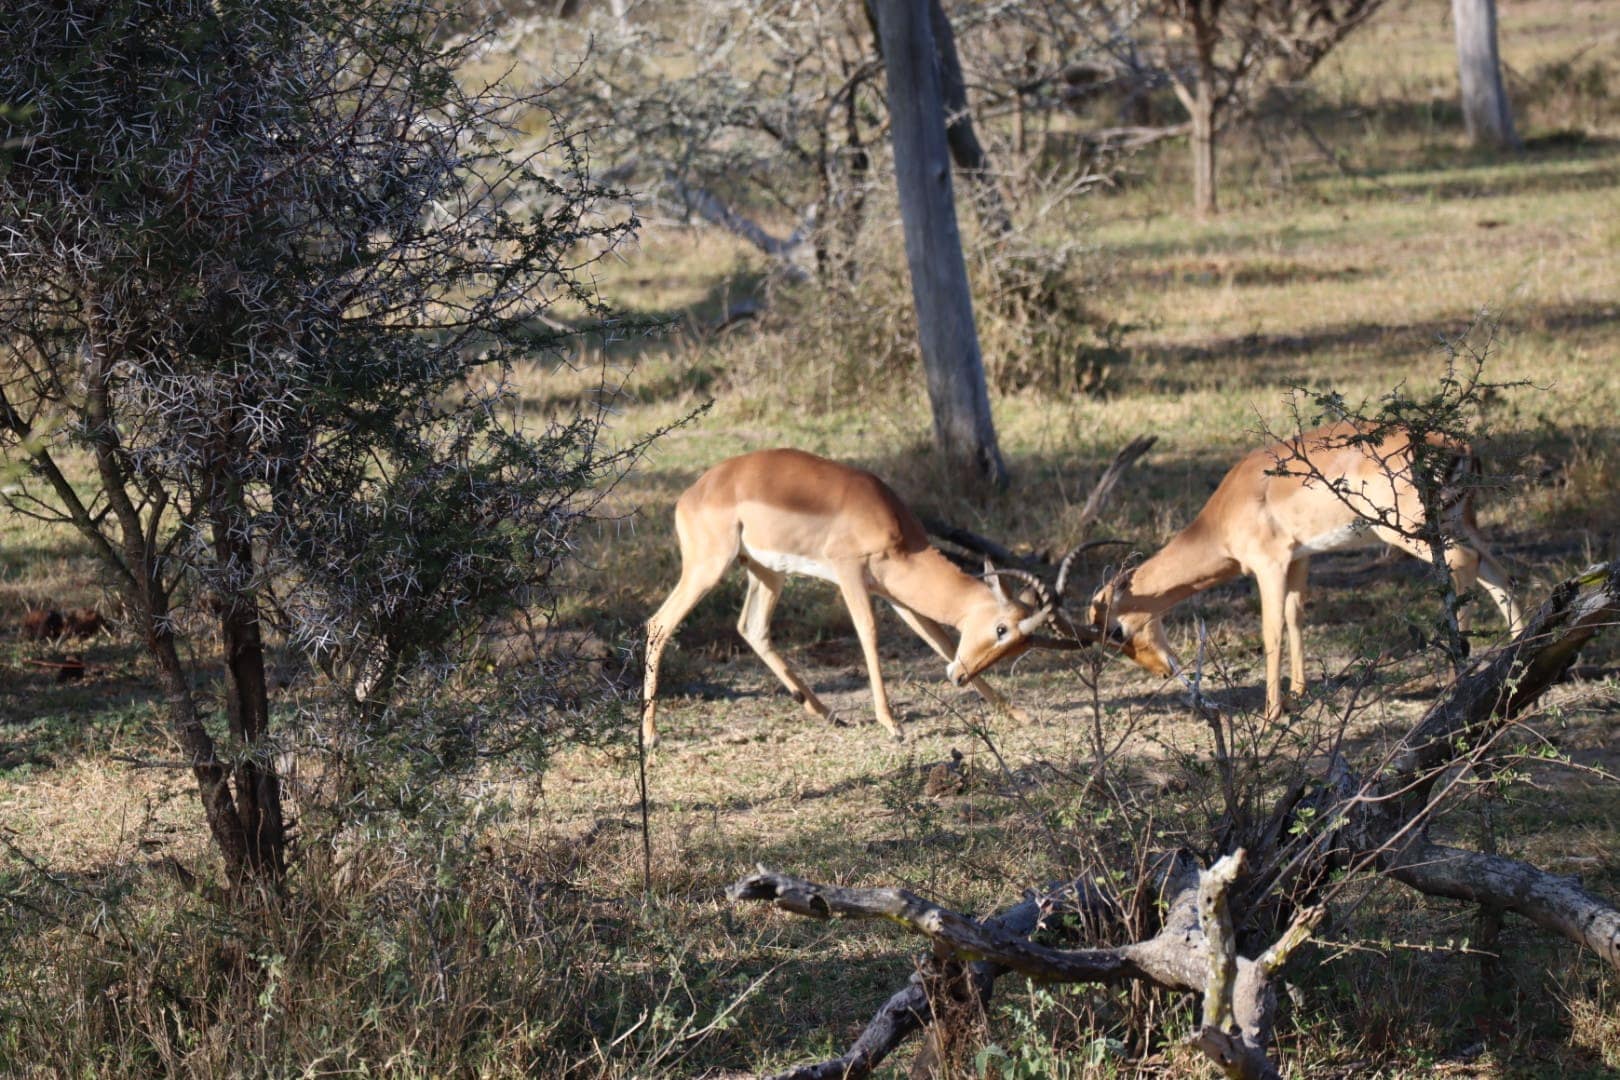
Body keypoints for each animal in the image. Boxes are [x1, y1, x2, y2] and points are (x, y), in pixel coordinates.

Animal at [641, 448, 1091, 747]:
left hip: (767, 571)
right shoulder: (850, 574)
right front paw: (892, 725)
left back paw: (829, 714)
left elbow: (940, 641)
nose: (959, 678)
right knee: (659, 623)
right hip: (709, 567)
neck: (898, 533)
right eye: (1001, 629)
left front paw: (1017, 712)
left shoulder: (897, 596)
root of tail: (693, 494)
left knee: (752, 628)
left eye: (1021, 645)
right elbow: (869, 633)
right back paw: (650, 737)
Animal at [1088, 421, 1524, 719]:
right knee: (1499, 573)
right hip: (1462, 524)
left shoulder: (1269, 564)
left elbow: (1271, 631)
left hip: (1414, 532)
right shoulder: (1299, 558)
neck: (1223, 512)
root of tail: (1458, 445)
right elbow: (1295, 617)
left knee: (1464, 565)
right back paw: (1518, 659)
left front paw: (1271, 713)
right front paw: (1299, 694)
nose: (1161, 670)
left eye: (1116, 630)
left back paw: (1458, 675)